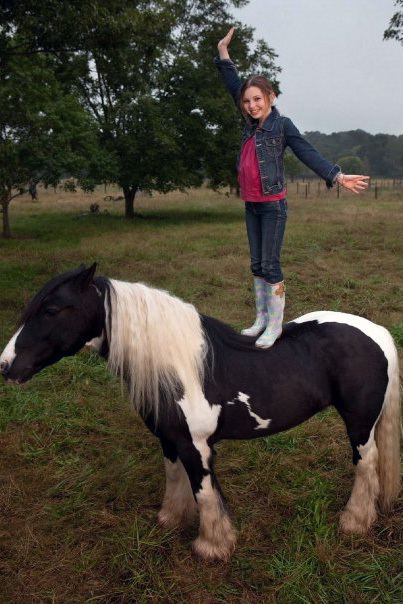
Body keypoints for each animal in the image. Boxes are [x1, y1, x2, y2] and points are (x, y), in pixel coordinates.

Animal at [0, 266, 400, 560]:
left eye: (52, 310)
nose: (6, 366)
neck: (178, 366)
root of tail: (377, 332)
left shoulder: (198, 446)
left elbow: (205, 493)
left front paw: (213, 546)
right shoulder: (170, 439)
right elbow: (174, 479)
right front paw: (171, 519)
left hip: (359, 424)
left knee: (366, 464)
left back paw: (354, 522)